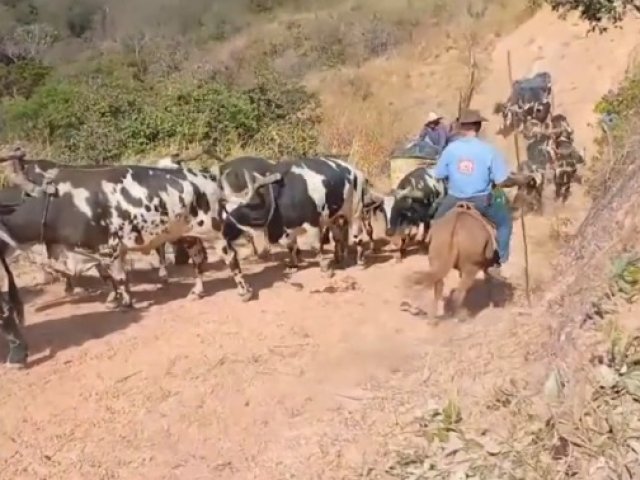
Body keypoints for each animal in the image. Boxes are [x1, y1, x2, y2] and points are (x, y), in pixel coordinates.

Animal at [0, 152, 270, 308]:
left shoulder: (107, 247)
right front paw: (118, 298)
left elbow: (118, 277)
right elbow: (113, 277)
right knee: (199, 261)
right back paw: (196, 291)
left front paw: (126, 302)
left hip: (213, 230)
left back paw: (244, 291)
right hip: (188, 234)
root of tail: (208, 177)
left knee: (230, 257)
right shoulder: (98, 252)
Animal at [222, 157, 370, 276]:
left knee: (357, 236)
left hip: (355, 212)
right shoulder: (288, 230)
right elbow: (291, 247)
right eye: (224, 211)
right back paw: (338, 258)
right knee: (338, 237)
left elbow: (315, 246)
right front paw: (293, 265)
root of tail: (356, 171)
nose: (224, 234)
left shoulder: (312, 223)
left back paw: (360, 259)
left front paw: (324, 268)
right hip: (332, 217)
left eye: (237, 213)